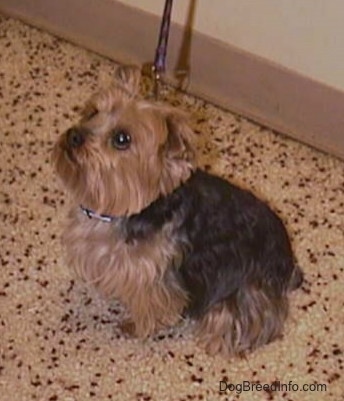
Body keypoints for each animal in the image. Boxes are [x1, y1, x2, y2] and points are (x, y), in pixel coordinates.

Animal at [52, 64, 302, 354]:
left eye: (122, 138)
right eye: (93, 112)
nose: (74, 135)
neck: (117, 213)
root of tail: (288, 259)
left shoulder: (153, 275)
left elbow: (154, 306)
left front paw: (134, 327)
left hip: (248, 284)